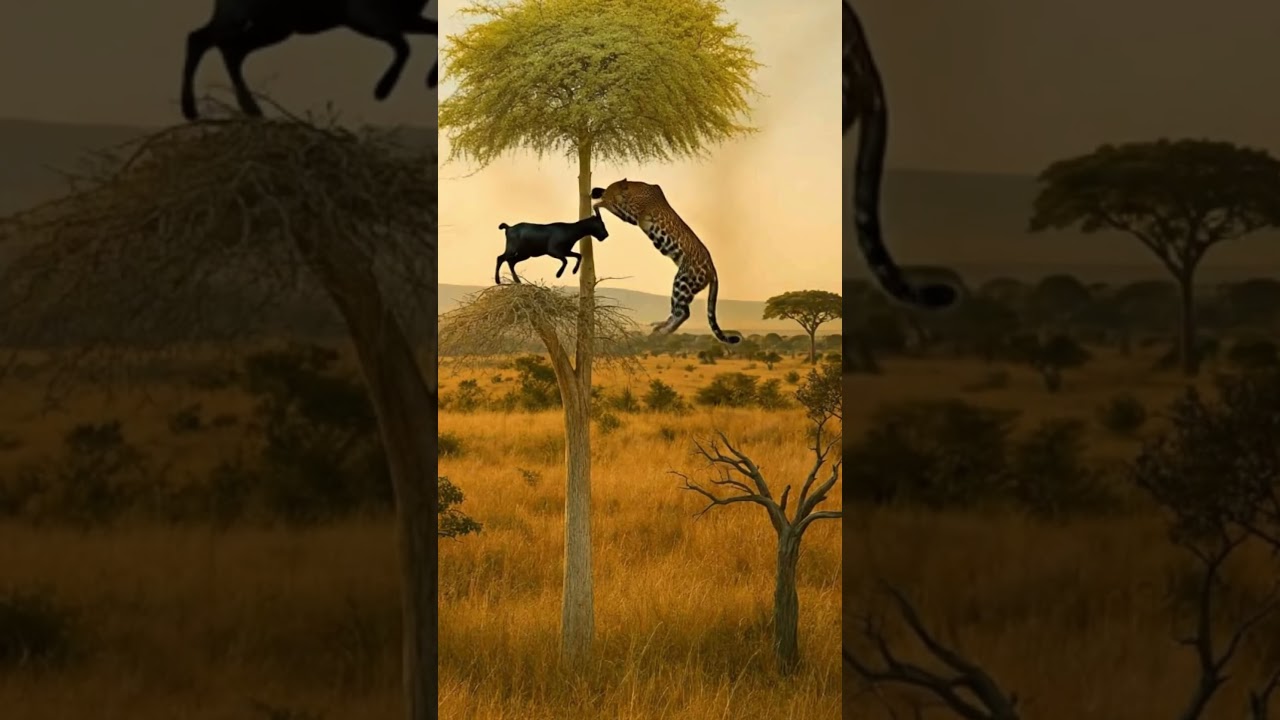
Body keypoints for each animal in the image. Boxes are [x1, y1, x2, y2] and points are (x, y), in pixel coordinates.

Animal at [181, 0, 438, 121]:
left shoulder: (404, 17)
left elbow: (434, 31)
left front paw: (431, 80)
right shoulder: (365, 16)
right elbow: (404, 47)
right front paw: (381, 91)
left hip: (274, 27)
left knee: (232, 50)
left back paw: (253, 110)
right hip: (245, 15)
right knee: (200, 39)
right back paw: (190, 110)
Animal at [590, 179, 741, 344]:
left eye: (610, 189)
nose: (598, 192)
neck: (634, 190)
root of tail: (712, 269)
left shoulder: (632, 215)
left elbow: (610, 205)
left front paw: (599, 202)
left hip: (682, 283)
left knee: (683, 312)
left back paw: (662, 331)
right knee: (677, 311)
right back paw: (659, 327)